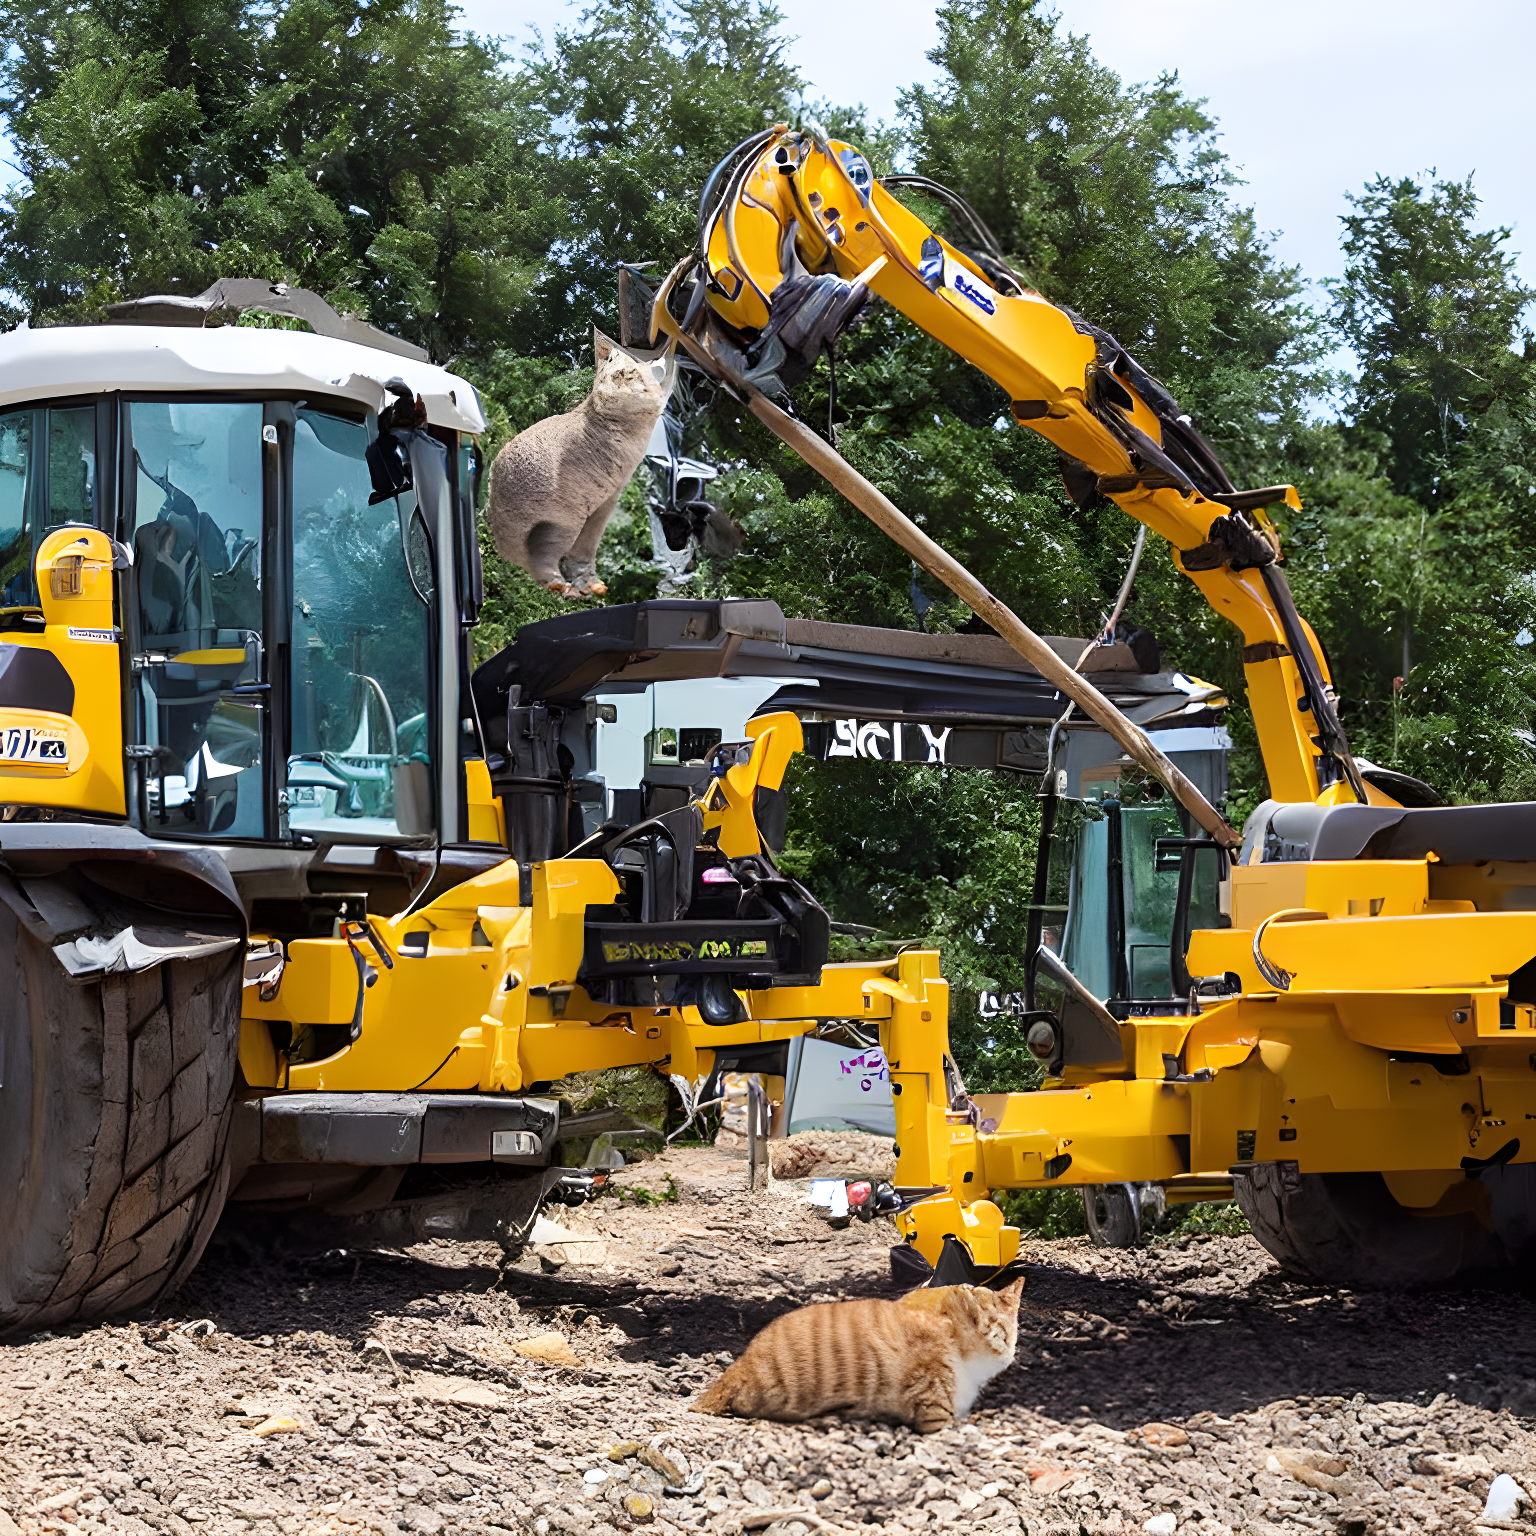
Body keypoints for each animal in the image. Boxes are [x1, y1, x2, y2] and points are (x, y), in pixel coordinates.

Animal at [482, 333, 669, 595]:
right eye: (613, 361)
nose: (632, 372)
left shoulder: (610, 496)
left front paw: (596, 585)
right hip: (560, 521)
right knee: (542, 559)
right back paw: (564, 589)